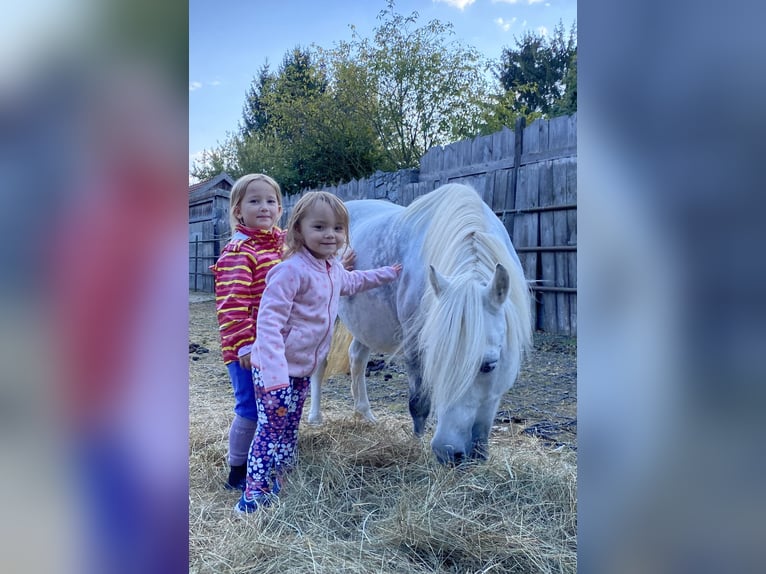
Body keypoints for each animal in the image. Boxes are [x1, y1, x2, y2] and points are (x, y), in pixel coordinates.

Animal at [308, 187, 532, 466]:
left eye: (489, 365)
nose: (448, 452)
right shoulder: (415, 347)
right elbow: (418, 403)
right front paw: (416, 445)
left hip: (365, 325)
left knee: (357, 358)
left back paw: (365, 415)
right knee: (321, 365)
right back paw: (315, 418)